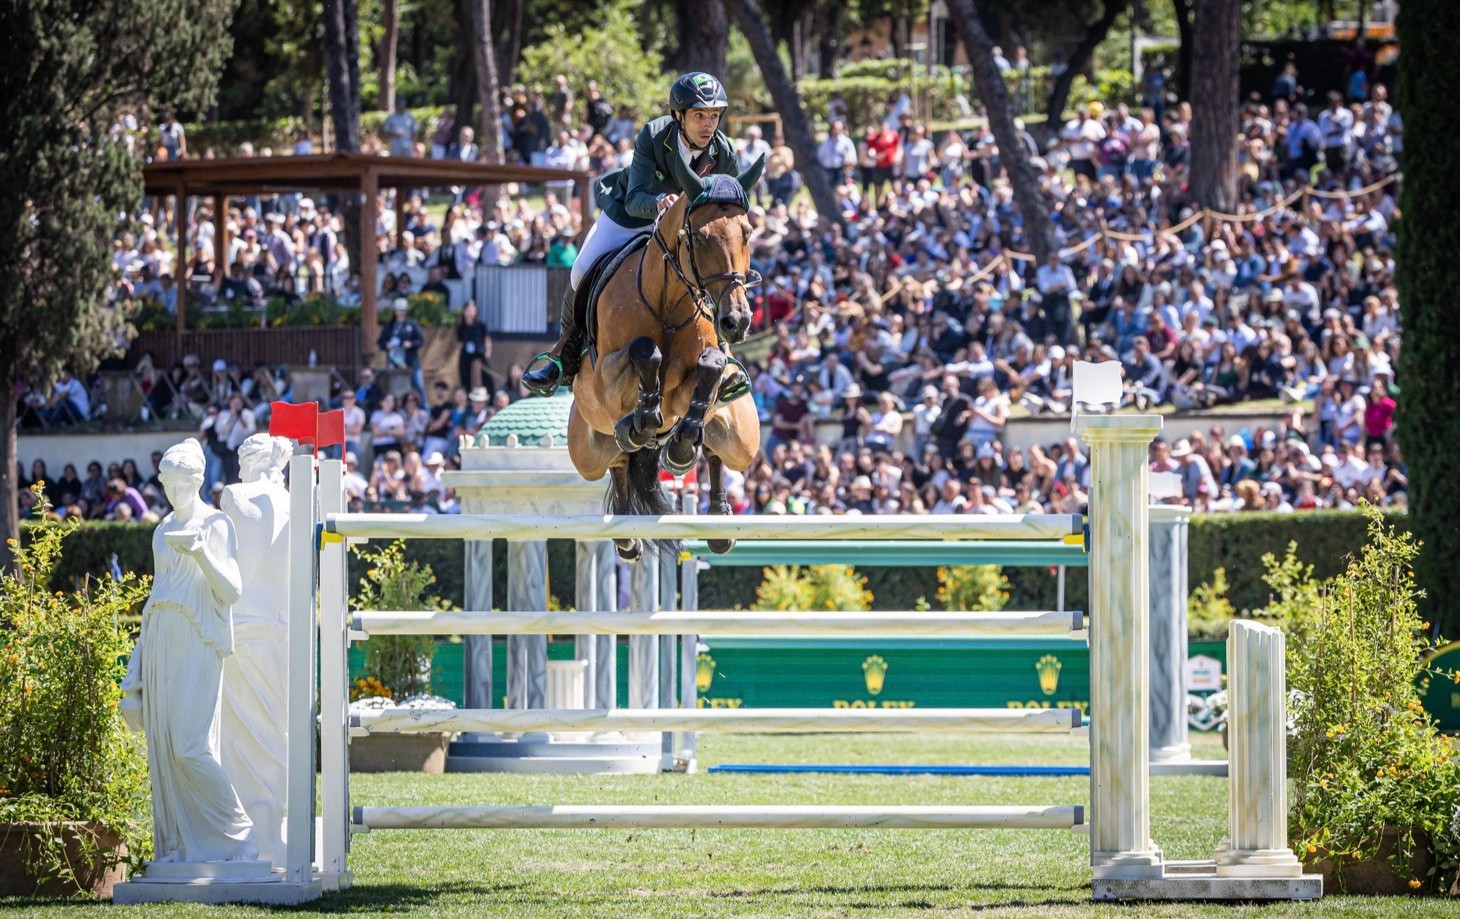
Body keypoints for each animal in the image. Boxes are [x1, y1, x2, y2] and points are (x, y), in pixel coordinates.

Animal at [567, 155, 765, 563]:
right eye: (699, 237)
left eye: (747, 232)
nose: (736, 321)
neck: (669, 305)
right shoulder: (604, 380)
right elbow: (645, 351)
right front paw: (643, 419)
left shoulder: (689, 388)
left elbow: (710, 368)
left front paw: (681, 442)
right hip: (586, 453)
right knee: (617, 462)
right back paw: (626, 532)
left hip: (743, 440)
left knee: (716, 452)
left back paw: (717, 514)